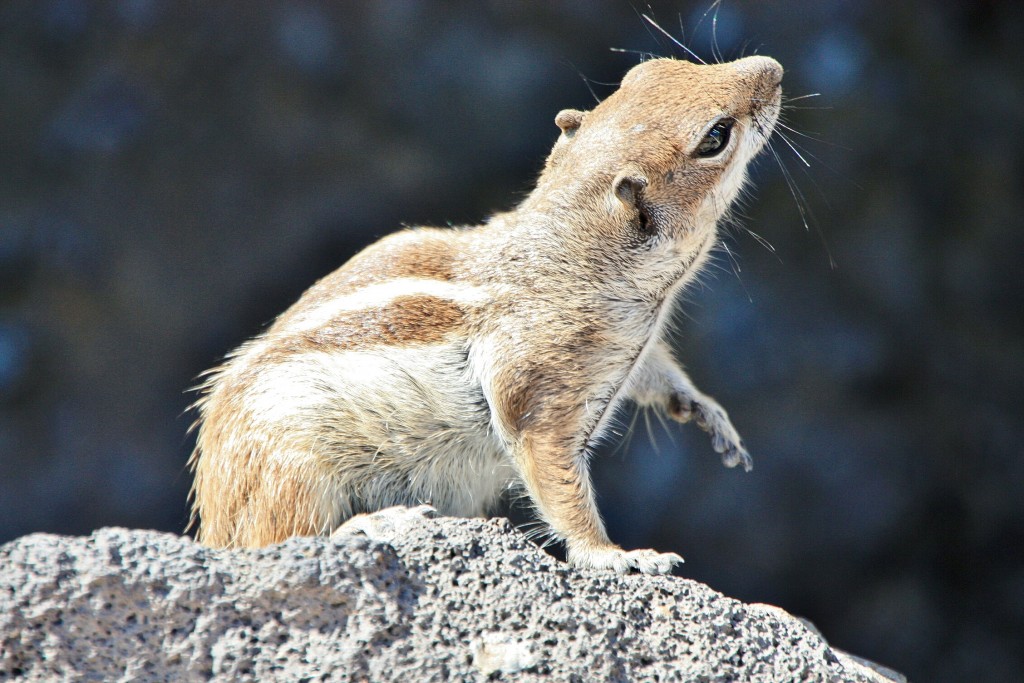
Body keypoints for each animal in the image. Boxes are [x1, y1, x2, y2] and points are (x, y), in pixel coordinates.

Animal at [190, 54, 782, 577]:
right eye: (716, 137)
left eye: (648, 70)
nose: (772, 68)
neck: (566, 250)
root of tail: (213, 514)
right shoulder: (541, 391)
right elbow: (556, 481)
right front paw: (616, 555)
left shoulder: (635, 349)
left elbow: (657, 372)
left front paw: (705, 411)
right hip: (289, 471)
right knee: (278, 539)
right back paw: (378, 523)